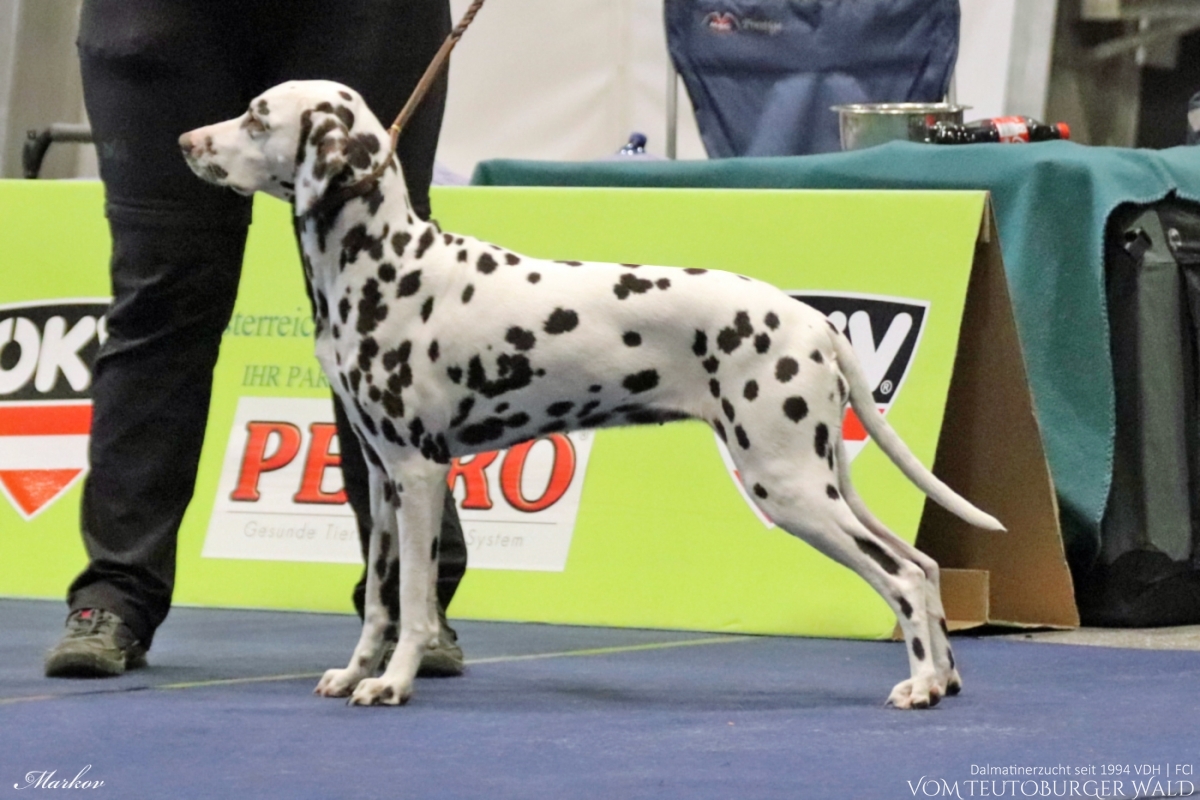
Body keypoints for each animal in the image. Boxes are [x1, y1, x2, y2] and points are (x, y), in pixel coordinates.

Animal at [177, 79, 1003, 705]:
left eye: (256, 116)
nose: (185, 140)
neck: (385, 266)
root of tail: (815, 322)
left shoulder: (419, 476)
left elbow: (413, 605)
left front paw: (393, 683)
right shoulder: (381, 480)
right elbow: (379, 604)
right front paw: (356, 674)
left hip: (789, 485)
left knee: (901, 576)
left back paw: (920, 686)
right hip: (821, 479)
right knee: (923, 566)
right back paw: (945, 678)